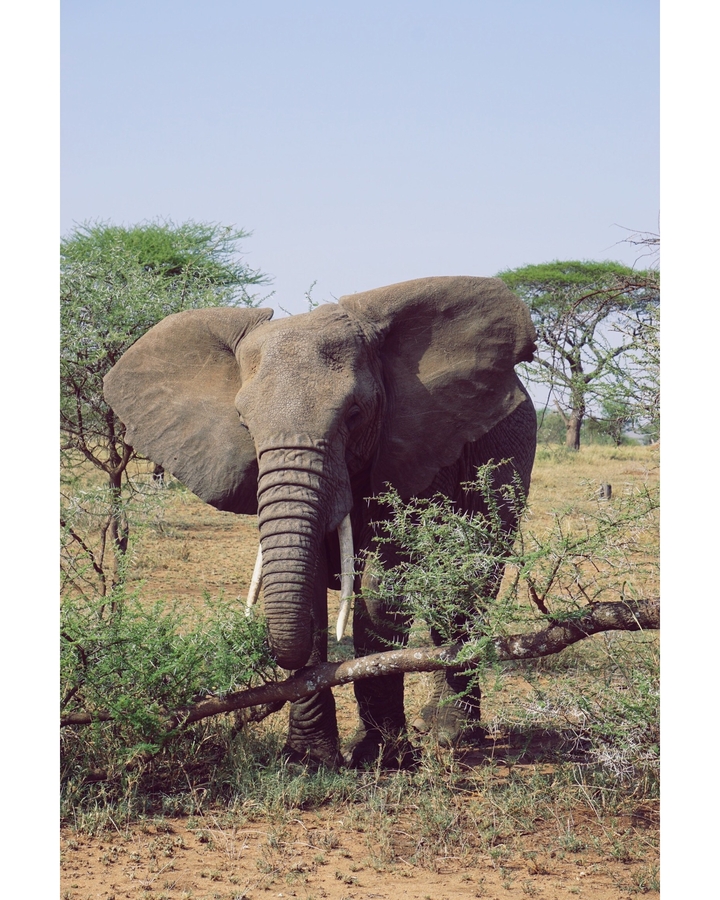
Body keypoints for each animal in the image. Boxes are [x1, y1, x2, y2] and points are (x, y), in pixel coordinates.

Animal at [103, 275, 537, 768]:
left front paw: (381, 759)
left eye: (354, 414)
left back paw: (451, 735)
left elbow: (382, 590)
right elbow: (306, 593)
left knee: (467, 591)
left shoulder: (416, 448)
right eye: (243, 422)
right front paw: (308, 760)